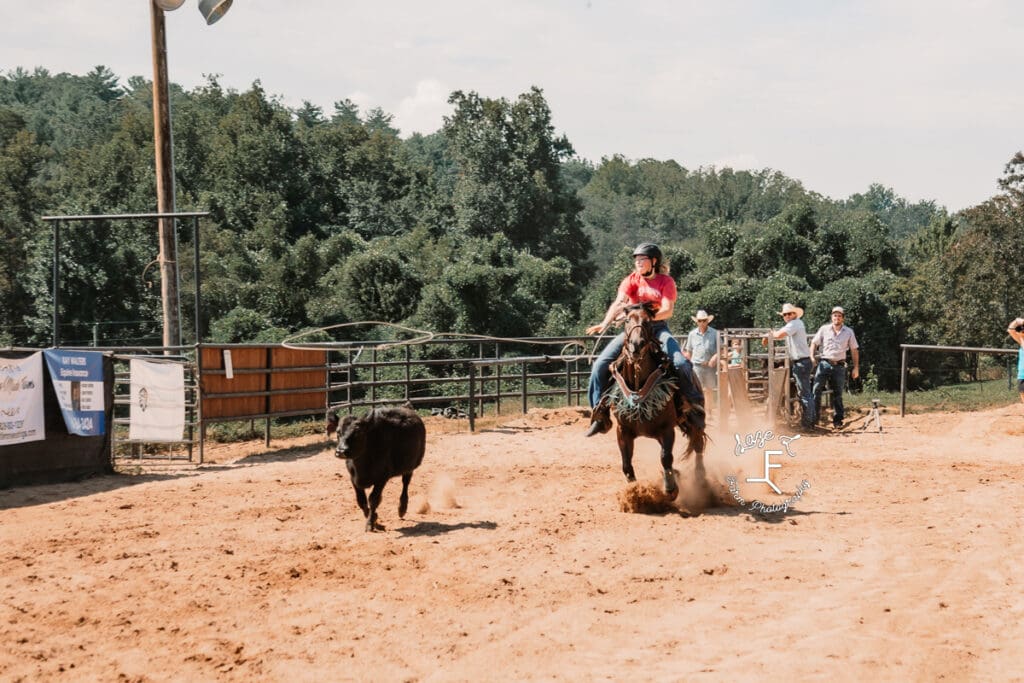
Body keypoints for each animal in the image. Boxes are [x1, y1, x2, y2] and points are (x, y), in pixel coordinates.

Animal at [602, 305, 708, 497]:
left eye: (648, 322)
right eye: (627, 320)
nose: (636, 345)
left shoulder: (666, 429)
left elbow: (665, 458)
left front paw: (671, 488)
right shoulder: (623, 430)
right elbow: (626, 464)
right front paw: (634, 494)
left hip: (694, 419)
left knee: (697, 445)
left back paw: (700, 477)